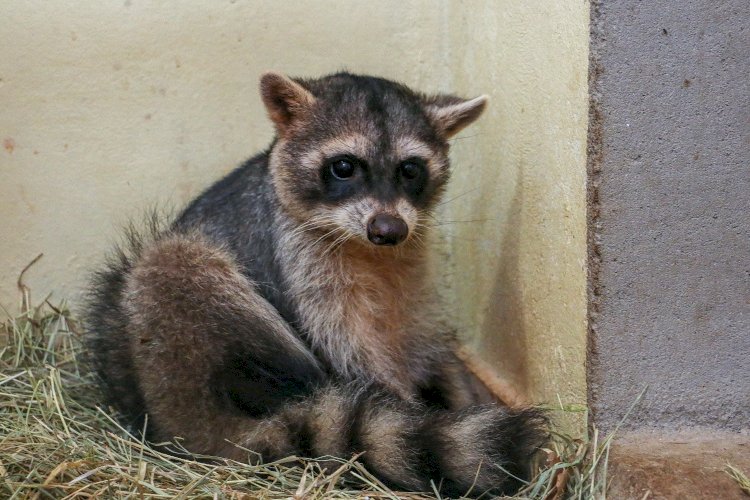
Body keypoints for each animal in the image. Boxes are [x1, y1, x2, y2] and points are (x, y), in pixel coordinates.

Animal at [85, 72, 548, 498]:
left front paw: (457, 391)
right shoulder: (298, 259)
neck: (367, 250)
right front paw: (412, 412)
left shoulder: (412, 262)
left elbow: (420, 338)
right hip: (179, 337)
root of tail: (168, 416)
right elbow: (349, 351)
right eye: (344, 167)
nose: (388, 230)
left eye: (410, 169)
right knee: (170, 265)